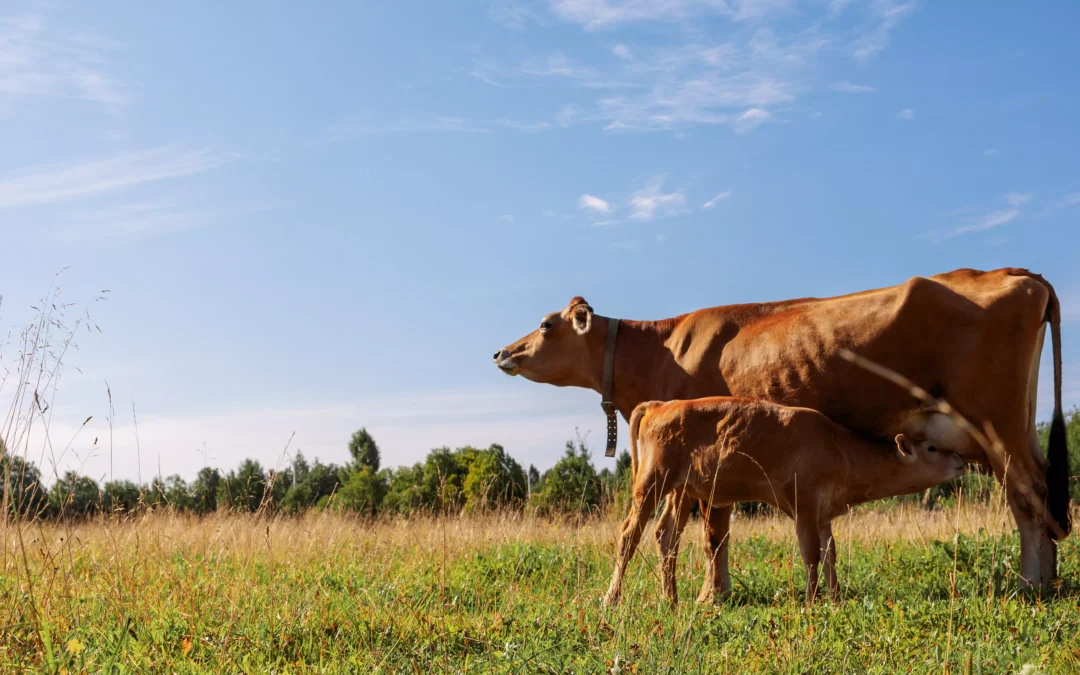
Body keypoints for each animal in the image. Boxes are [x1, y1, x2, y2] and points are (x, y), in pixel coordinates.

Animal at [604, 395, 967, 604]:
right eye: (932, 447)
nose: (961, 460)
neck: (837, 448)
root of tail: (662, 404)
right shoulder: (803, 502)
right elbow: (811, 552)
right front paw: (812, 599)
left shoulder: (823, 512)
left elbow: (830, 552)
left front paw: (835, 597)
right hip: (652, 481)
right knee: (629, 534)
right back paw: (612, 598)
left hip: (681, 490)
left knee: (666, 536)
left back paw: (672, 599)